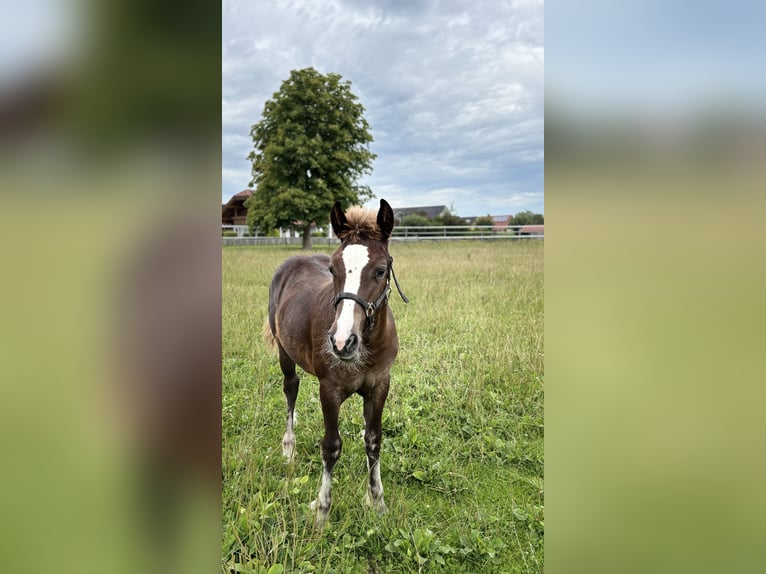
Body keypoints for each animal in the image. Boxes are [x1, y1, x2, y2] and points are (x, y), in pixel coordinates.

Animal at [265, 198, 407, 526]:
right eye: (333, 269)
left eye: (381, 270)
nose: (342, 341)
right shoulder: (329, 389)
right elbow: (330, 447)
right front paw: (322, 511)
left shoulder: (380, 385)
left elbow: (373, 440)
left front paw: (377, 502)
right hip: (284, 351)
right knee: (290, 388)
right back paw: (288, 448)